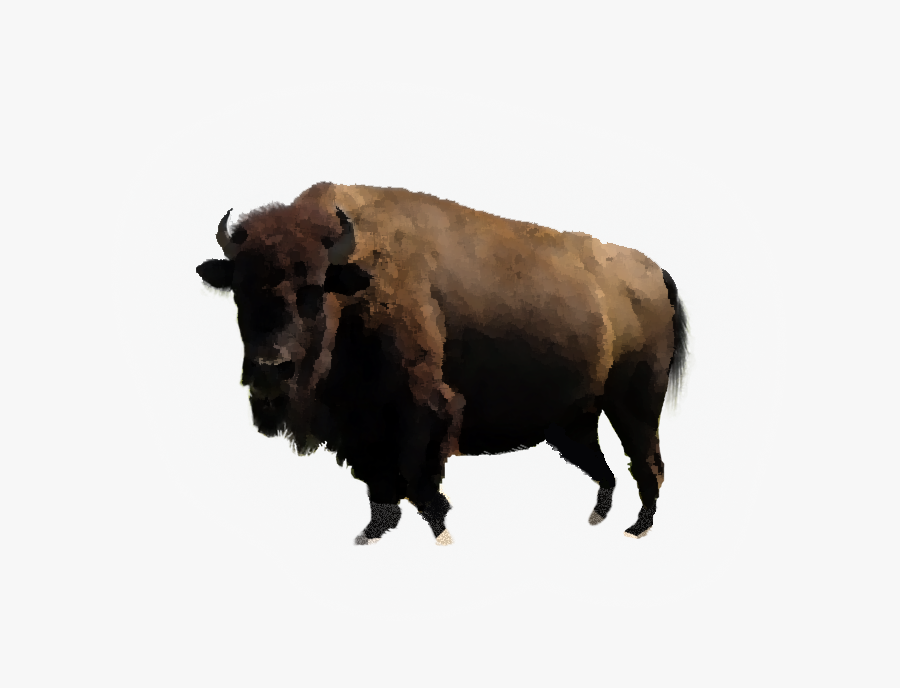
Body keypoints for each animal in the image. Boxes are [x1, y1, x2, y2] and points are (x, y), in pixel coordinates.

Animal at [196, 183, 687, 545]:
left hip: (635, 405)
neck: (355, 282)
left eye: (314, 289)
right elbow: (379, 488)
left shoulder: (424, 411)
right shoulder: (359, 426)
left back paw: (636, 529)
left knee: (647, 463)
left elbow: (421, 485)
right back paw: (598, 518)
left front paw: (440, 533)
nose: (270, 368)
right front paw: (370, 534)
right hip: (573, 421)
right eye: (239, 290)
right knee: (605, 468)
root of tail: (654, 272)